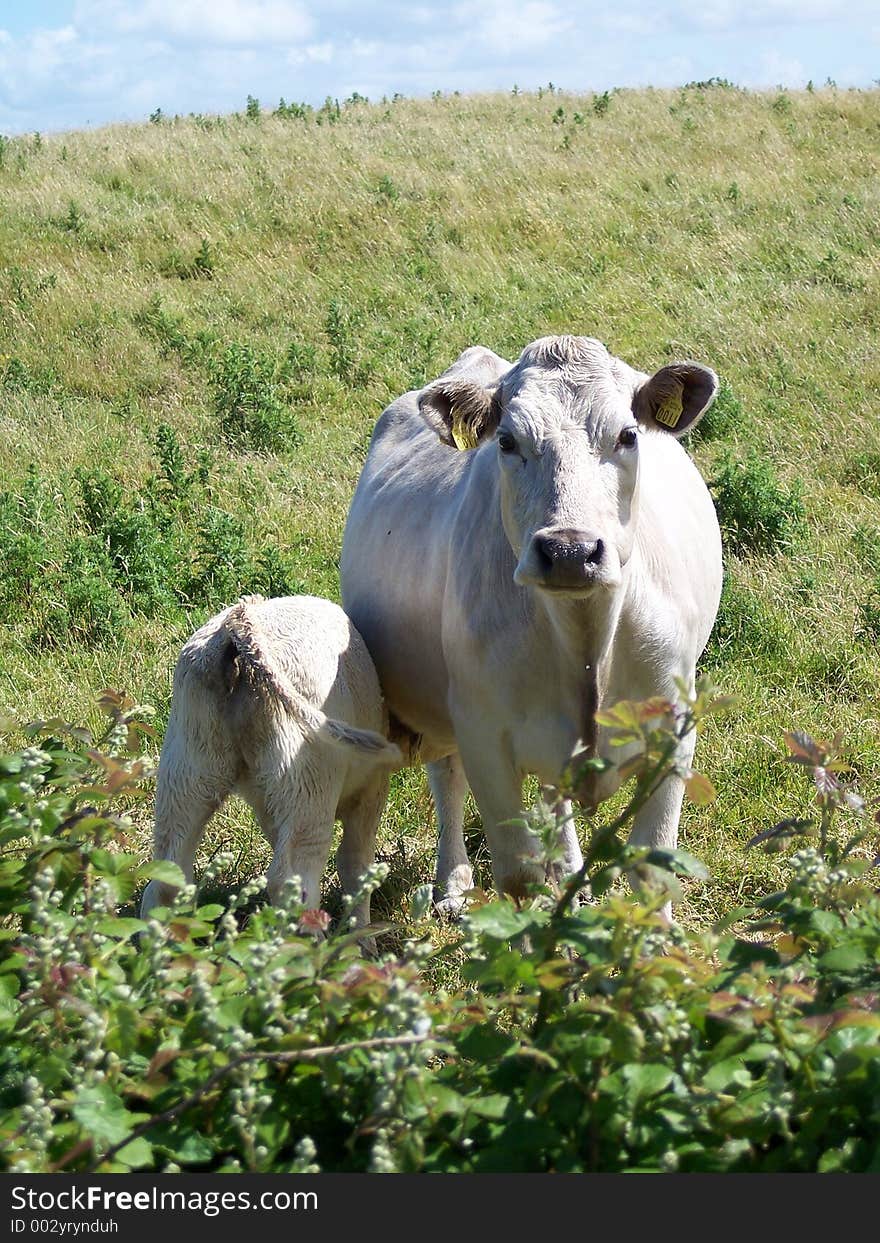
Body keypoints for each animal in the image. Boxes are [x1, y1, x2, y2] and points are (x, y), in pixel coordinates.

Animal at [141, 594, 402, 934]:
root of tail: (241, 622)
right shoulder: (371, 789)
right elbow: (356, 863)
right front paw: (362, 937)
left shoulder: (269, 802)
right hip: (309, 782)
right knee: (290, 878)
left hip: (188, 768)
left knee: (167, 875)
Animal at [340, 340, 720, 914]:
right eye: (507, 440)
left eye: (628, 435)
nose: (569, 551)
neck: (586, 641)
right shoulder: (484, 734)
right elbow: (518, 875)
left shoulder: (673, 728)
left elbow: (652, 869)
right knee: (447, 777)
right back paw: (454, 882)